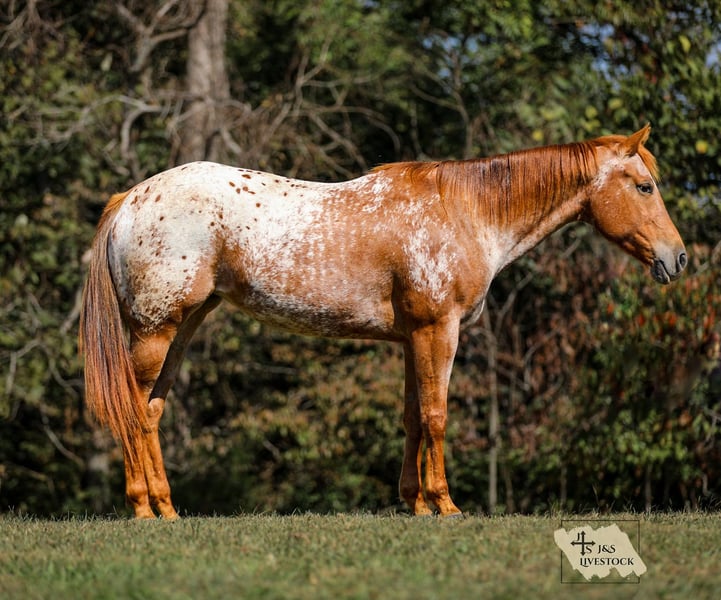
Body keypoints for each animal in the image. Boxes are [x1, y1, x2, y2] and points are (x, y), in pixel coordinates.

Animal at [79, 124, 686, 519]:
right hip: (156, 331)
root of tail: (130, 198)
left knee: (149, 412)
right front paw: (445, 504)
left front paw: (413, 502)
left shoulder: (412, 337)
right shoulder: (438, 330)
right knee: (131, 409)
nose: (677, 258)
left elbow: (414, 417)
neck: (466, 212)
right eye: (645, 186)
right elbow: (437, 416)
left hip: (181, 328)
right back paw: (141, 508)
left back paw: (166, 509)